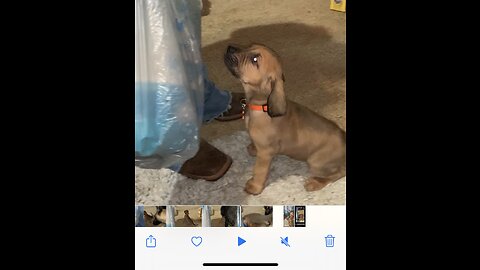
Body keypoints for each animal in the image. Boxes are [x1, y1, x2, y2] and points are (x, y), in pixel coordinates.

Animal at [225, 44, 344, 196]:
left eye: (255, 59)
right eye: (249, 46)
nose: (230, 48)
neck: (261, 106)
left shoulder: (265, 153)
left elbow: (259, 171)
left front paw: (254, 187)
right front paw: (253, 148)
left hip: (315, 162)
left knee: (338, 173)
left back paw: (315, 182)